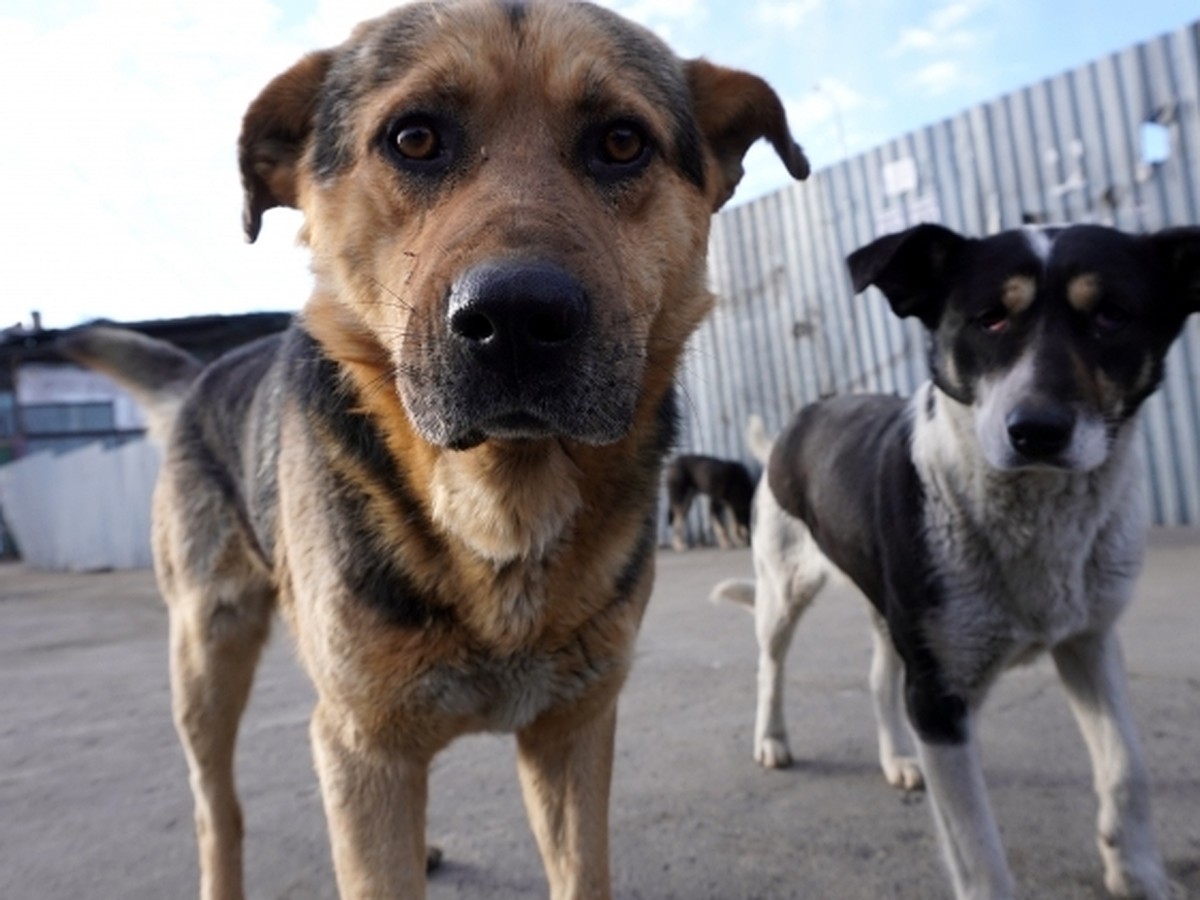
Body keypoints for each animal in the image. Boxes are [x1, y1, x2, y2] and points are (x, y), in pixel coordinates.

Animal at [54, 3, 806, 897]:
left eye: (622, 142)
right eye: (414, 139)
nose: (516, 319)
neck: (499, 509)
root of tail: (205, 374)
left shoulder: (572, 729)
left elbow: (579, 868)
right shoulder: (363, 743)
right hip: (207, 655)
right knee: (218, 811)